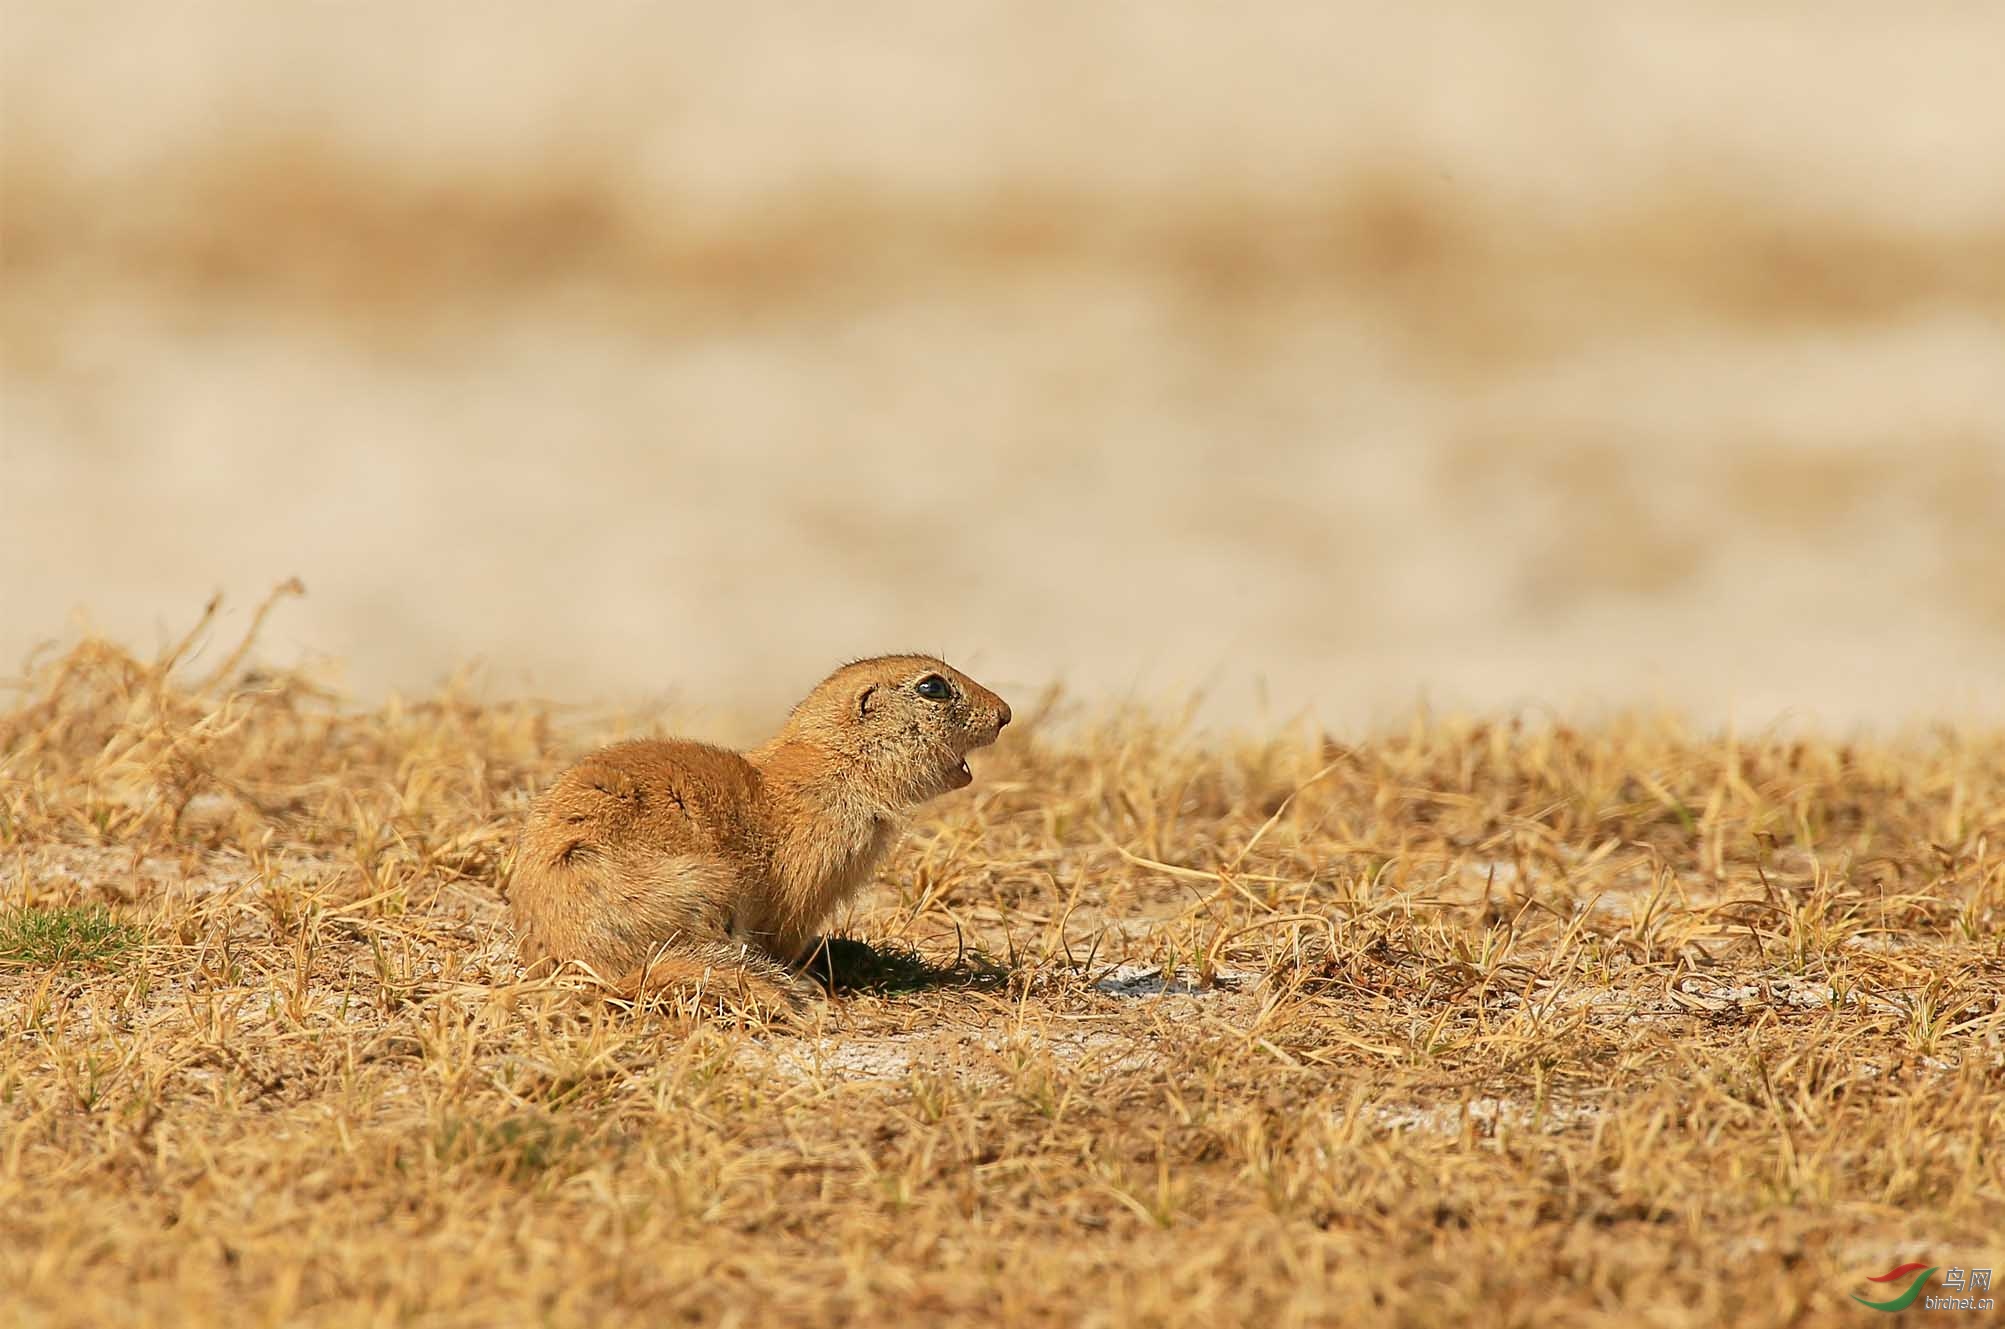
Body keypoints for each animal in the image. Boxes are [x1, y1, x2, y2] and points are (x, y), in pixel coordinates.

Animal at [509, 661, 1010, 1014]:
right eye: (933, 687)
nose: (1006, 714)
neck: (835, 765)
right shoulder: (812, 871)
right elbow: (787, 929)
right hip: (704, 889)